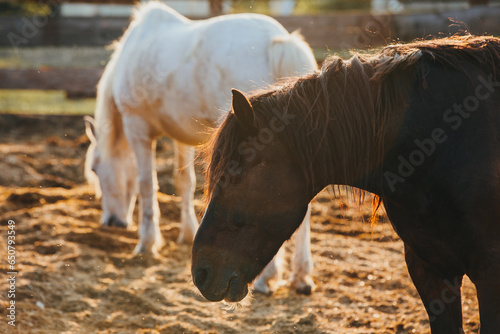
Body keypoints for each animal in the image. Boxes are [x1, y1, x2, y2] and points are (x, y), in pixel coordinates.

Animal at [82, 1, 316, 294]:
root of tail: (278, 42)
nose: (112, 222)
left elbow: (147, 184)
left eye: (95, 168)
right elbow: (184, 181)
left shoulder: (138, 129)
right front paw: (187, 234)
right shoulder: (182, 136)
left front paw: (147, 243)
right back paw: (301, 277)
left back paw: (266, 278)